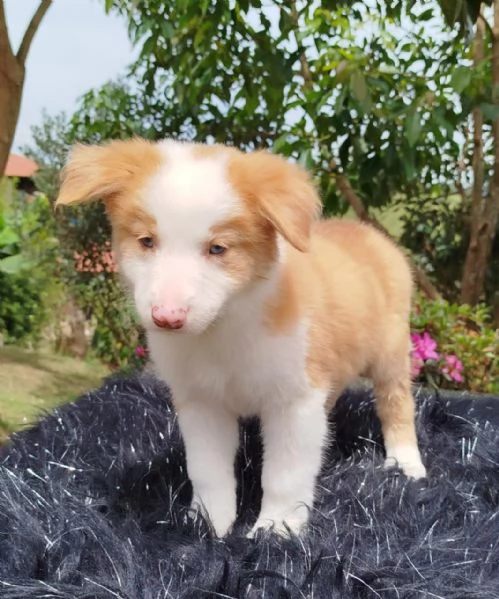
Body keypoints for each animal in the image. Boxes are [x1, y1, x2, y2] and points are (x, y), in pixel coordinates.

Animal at [55, 139, 426, 540]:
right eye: (146, 241)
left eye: (218, 249)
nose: (167, 318)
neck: (222, 329)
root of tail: (369, 234)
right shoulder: (202, 402)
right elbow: (207, 471)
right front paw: (207, 525)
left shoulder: (293, 401)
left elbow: (284, 474)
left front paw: (275, 530)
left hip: (391, 351)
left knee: (397, 403)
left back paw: (406, 463)